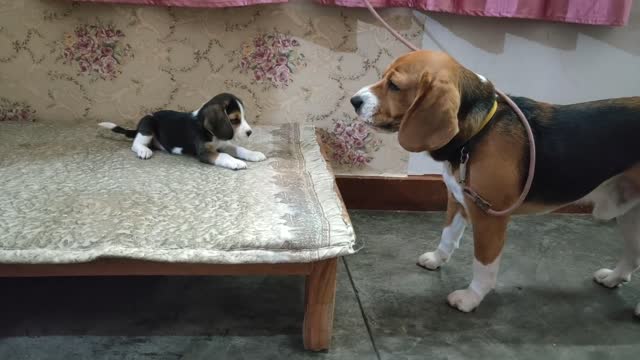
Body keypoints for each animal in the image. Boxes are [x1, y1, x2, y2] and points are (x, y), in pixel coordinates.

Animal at [99, 93, 268, 171]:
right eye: (234, 120)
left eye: (243, 117)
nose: (250, 132)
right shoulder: (204, 152)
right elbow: (225, 156)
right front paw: (236, 162)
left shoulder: (222, 144)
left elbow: (239, 149)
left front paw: (253, 154)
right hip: (148, 123)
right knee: (136, 144)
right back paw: (144, 151)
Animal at [350, 50, 640, 316]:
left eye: (394, 85)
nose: (354, 100)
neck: (479, 131)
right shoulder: (458, 200)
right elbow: (448, 236)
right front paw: (436, 259)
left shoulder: (489, 218)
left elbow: (484, 264)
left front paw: (471, 297)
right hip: (630, 217)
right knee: (632, 258)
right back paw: (613, 278)